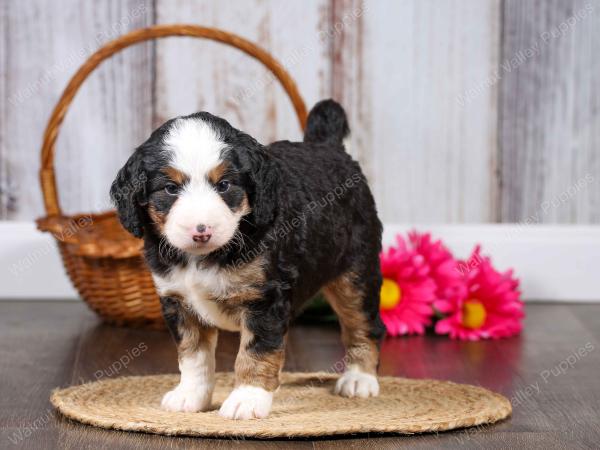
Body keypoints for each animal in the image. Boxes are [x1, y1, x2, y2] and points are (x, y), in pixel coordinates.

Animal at [110, 98, 386, 418]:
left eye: (224, 185)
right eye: (170, 188)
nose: (201, 231)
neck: (204, 257)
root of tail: (327, 146)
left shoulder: (264, 298)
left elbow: (256, 351)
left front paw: (248, 398)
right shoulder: (179, 302)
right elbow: (193, 356)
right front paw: (190, 395)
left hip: (356, 273)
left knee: (362, 325)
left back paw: (359, 379)